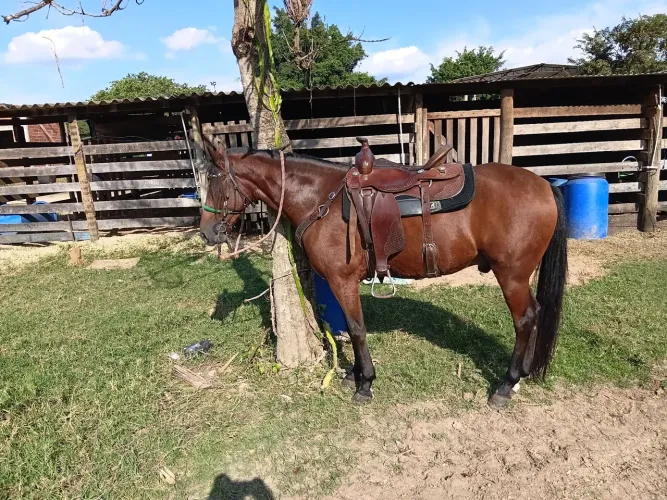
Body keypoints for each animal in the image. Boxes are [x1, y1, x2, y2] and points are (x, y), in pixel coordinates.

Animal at [199, 145, 567, 409]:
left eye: (215, 180)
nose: (207, 233)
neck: (320, 198)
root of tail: (544, 185)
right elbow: (350, 329)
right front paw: (353, 375)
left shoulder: (343, 281)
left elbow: (357, 329)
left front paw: (365, 384)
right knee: (535, 314)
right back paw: (522, 377)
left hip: (512, 276)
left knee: (524, 319)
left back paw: (506, 385)